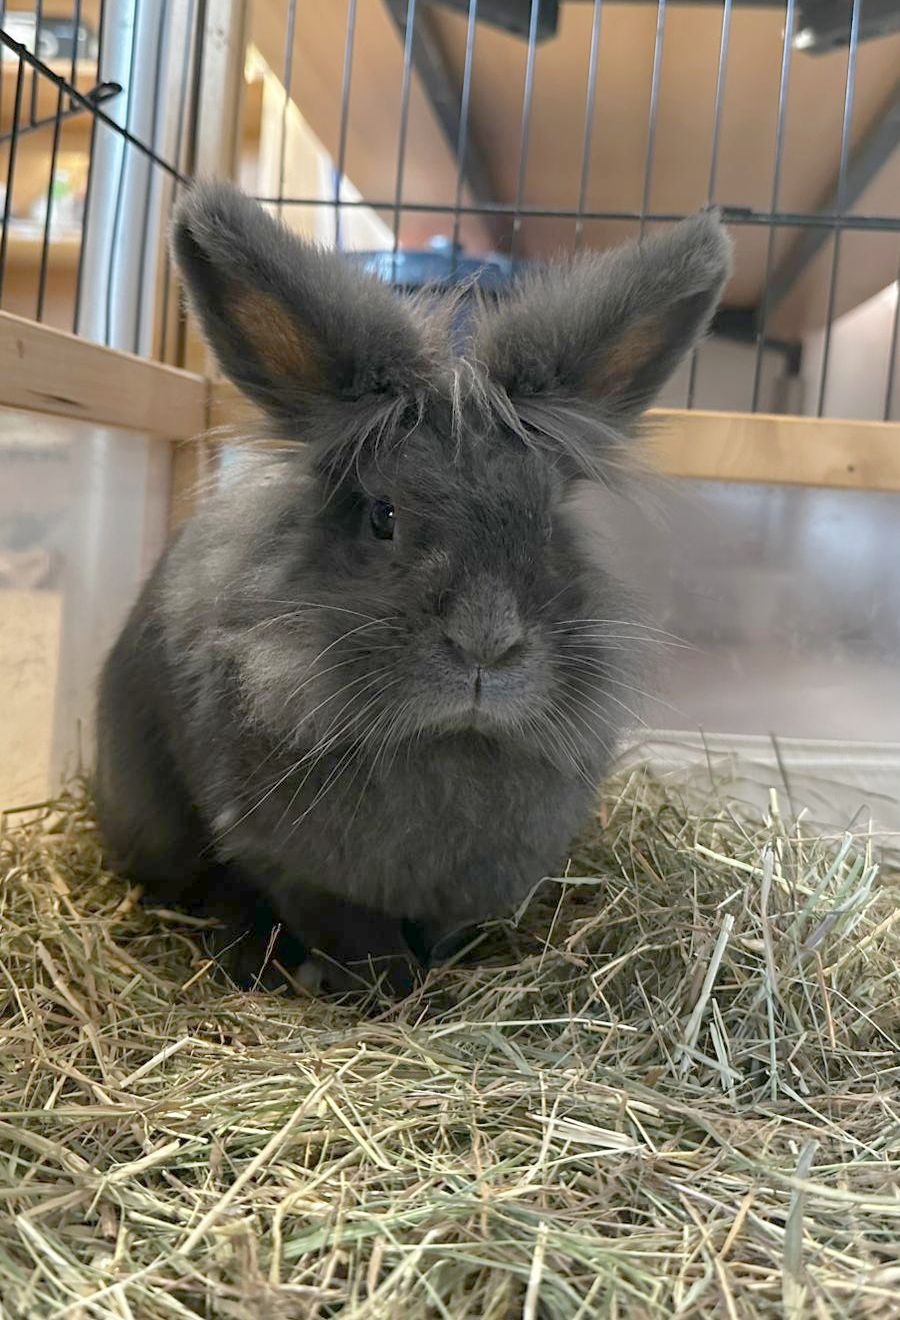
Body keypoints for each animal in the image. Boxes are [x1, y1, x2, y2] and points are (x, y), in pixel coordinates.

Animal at [94, 182, 731, 995]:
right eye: (382, 515)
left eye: (549, 521)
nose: (485, 645)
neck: (449, 743)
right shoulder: (294, 870)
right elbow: (360, 943)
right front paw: (397, 996)